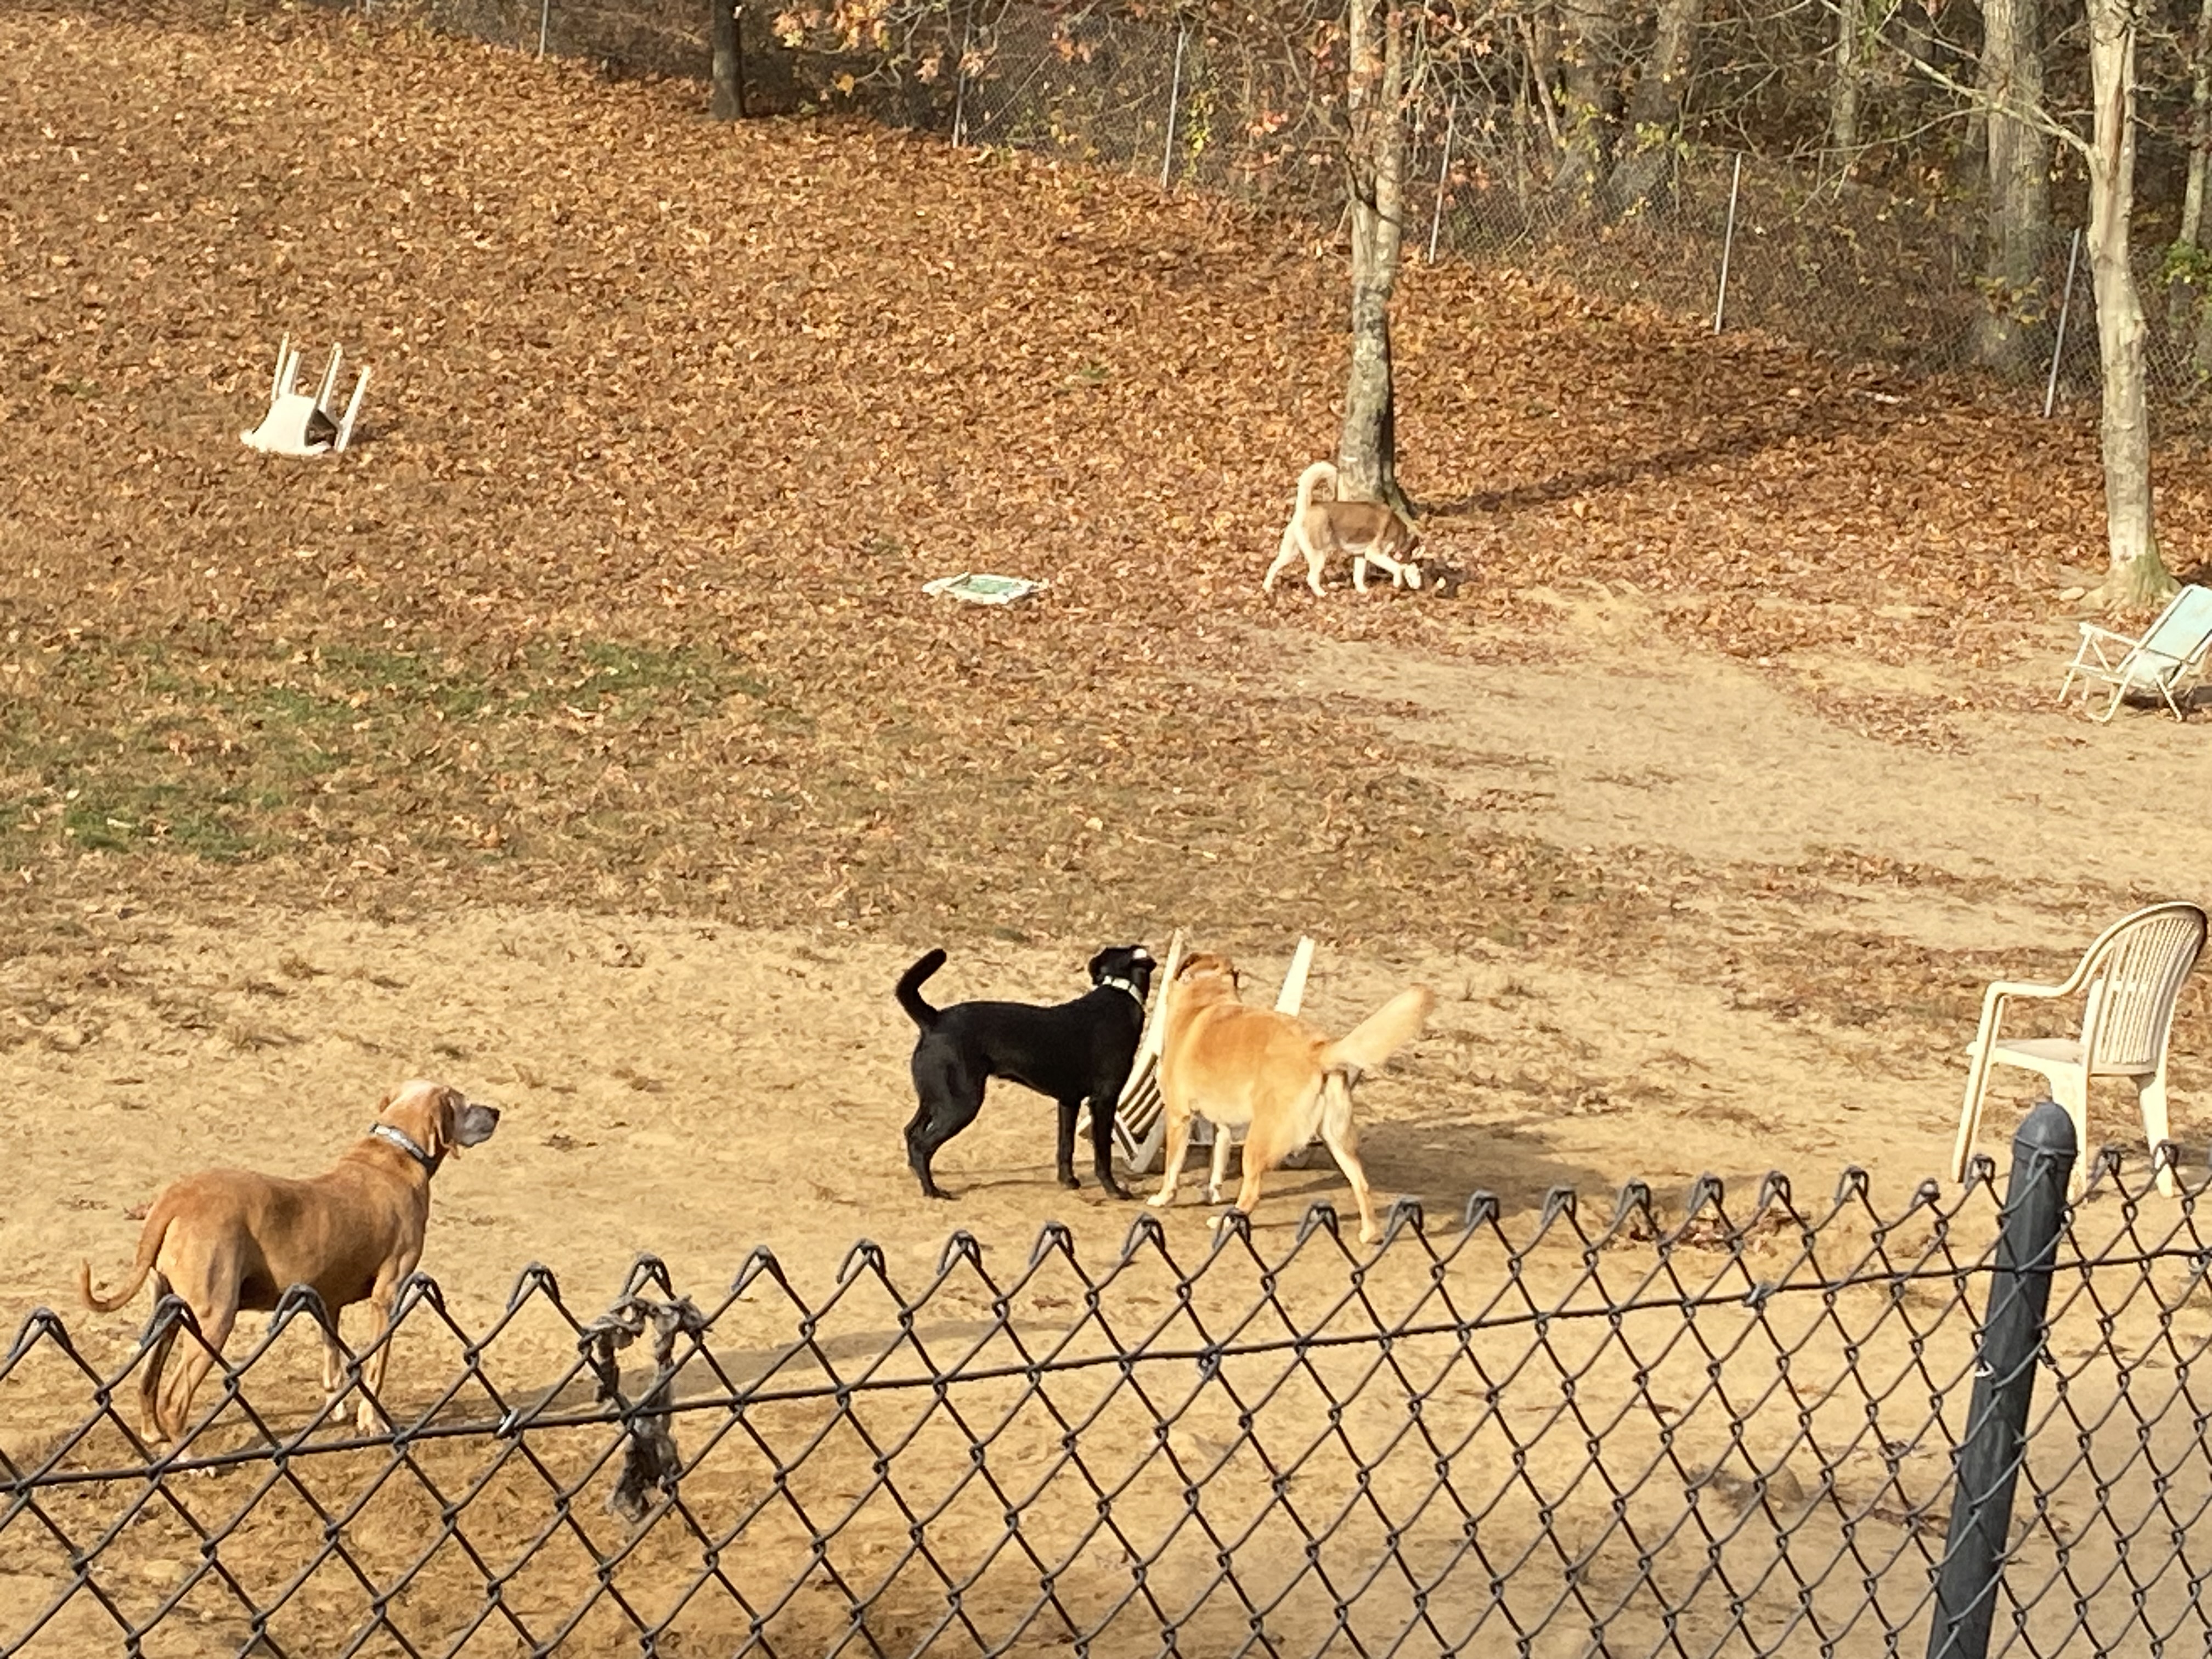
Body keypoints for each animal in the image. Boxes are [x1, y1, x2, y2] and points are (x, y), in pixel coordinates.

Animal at [78, 1079, 501, 1444]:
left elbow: (333, 1362)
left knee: (148, 1380)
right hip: (214, 1318)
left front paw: (337, 1408)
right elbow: (376, 1368)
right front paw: (373, 1422)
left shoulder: (328, 1300)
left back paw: (153, 1434)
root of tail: (175, 1198)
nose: (496, 1111)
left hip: (168, 1311)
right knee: (174, 1398)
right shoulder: (388, 1296)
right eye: (464, 1103)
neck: (398, 1152)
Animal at [897, 945, 1155, 1200]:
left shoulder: (1069, 1101)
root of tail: (934, 1019)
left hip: (936, 1098)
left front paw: (1068, 1181)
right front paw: (1115, 1191)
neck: (1120, 991)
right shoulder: (1104, 1100)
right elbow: (1103, 1153)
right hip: (960, 1104)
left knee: (911, 1131)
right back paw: (932, 1191)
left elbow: (1065, 1145)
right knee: (922, 1144)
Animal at [1149, 952, 1431, 1243]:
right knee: (1361, 1183)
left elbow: (1173, 1167)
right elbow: (1218, 1159)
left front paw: (1163, 1198)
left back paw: (1225, 1221)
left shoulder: (1178, 1117)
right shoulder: (1222, 1125)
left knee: (1251, 1194)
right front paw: (1212, 1192)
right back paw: (1370, 1233)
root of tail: (1319, 1051)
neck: (1208, 998)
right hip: (1337, 1141)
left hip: (1258, 1143)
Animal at [1263, 460, 1425, 596]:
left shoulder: (1361, 556)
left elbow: (1358, 577)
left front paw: (1363, 591)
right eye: (1418, 573)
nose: (1420, 587)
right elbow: (1397, 568)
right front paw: (1397, 583)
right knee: (1311, 578)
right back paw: (1322, 594)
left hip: (1290, 553)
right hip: (1319, 555)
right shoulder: (1374, 554)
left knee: (1274, 565)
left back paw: (1266, 588)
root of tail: (1306, 508)